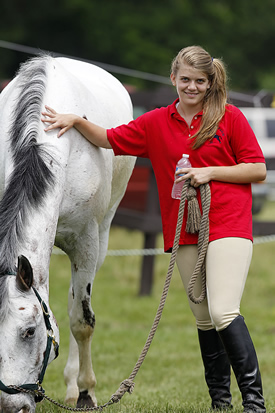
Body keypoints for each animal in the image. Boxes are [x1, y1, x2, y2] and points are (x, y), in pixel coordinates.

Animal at [0, 55, 136, 412]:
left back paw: (76, 387)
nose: (9, 407)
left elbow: (81, 321)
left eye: (29, 332)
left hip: (102, 239)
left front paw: (86, 392)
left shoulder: (85, 245)